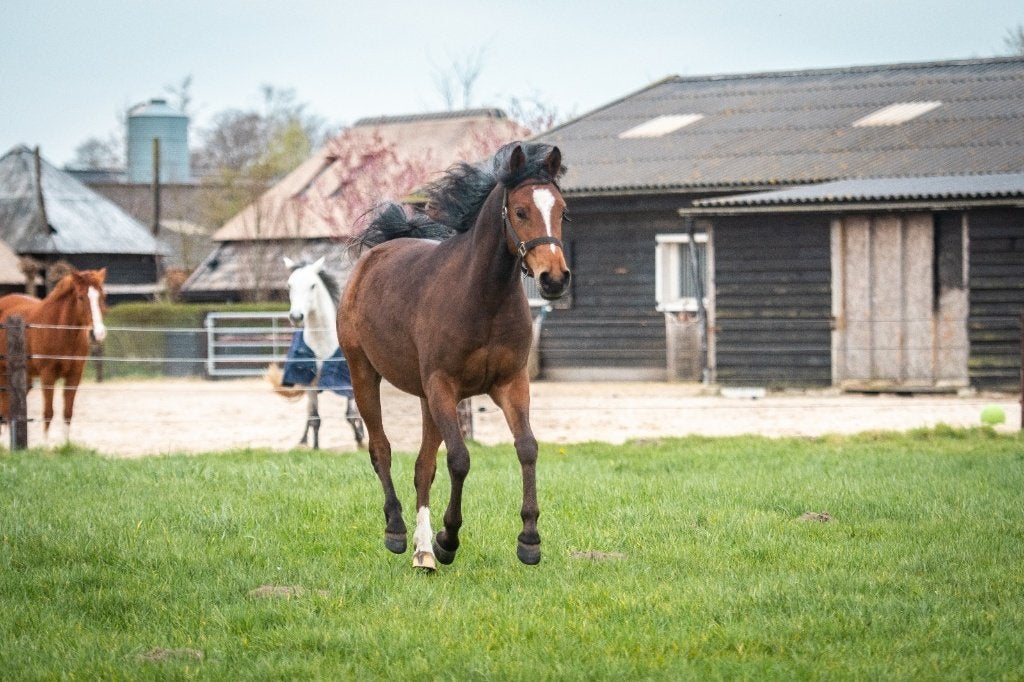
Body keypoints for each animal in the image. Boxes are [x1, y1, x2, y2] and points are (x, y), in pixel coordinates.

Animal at [0, 269, 108, 444]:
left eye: (102, 296)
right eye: (80, 297)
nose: (97, 334)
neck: (60, 330)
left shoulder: (74, 376)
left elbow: (67, 413)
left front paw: (66, 445)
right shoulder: (47, 375)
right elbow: (48, 412)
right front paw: (45, 446)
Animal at [268, 256, 364, 450]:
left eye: (312, 285)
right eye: (289, 285)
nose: (296, 317)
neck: (322, 342)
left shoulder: (347, 382)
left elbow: (350, 415)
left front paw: (360, 440)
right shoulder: (311, 383)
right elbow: (315, 418)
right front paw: (316, 447)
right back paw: (303, 440)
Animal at [340, 141, 570, 570]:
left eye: (562, 211)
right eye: (520, 211)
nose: (554, 279)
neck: (482, 298)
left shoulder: (510, 384)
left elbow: (527, 448)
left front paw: (529, 539)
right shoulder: (443, 387)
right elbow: (460, 459)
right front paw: (449, 538)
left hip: (424, 398)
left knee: (422, 467)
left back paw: (423, 554)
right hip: (363, 373)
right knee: (381, 450)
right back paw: (398, 532)